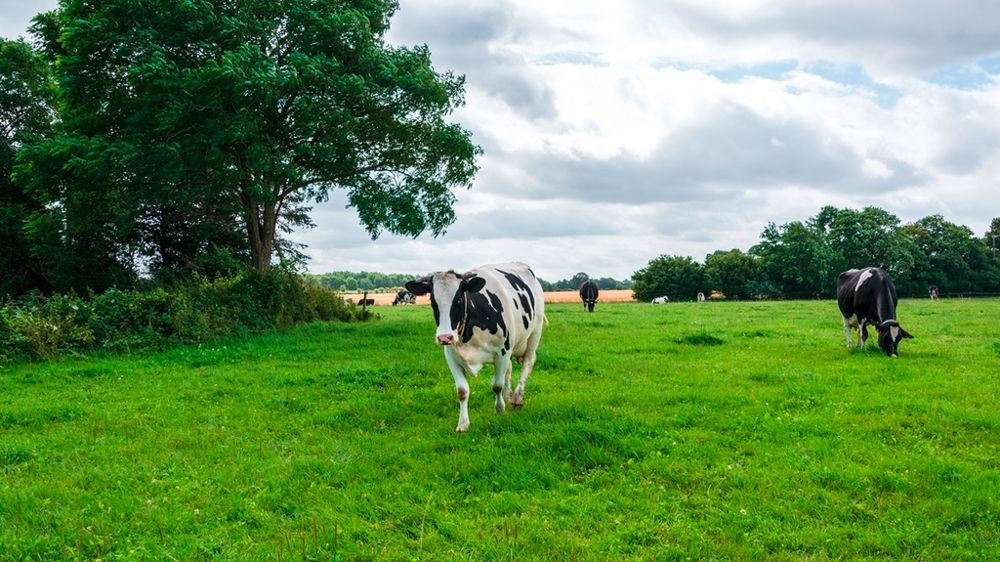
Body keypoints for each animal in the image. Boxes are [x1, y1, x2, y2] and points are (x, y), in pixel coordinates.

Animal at [405, 262, 546, 432]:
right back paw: (508, 396)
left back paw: (517, 398)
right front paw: (463, 423)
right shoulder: (451, 357)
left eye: (459, 299)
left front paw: (500, 409)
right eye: (433, 301)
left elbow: (496, 385)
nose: (444, 337)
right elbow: (462, 391)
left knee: (528, 363)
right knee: (509, 370)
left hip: (535, 332)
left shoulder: (502, 352)